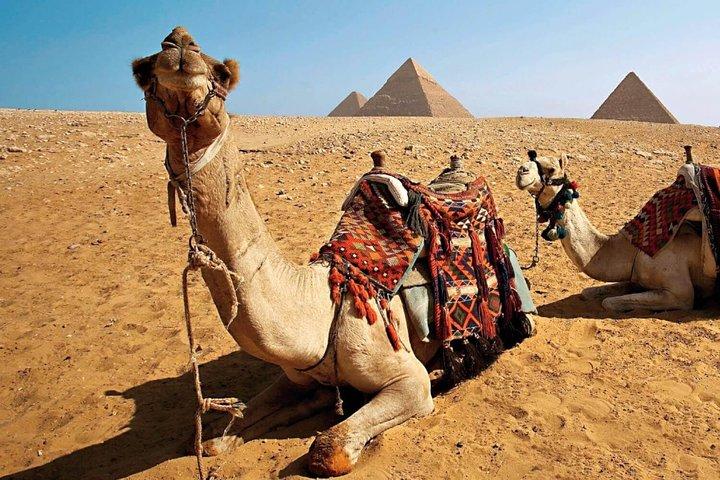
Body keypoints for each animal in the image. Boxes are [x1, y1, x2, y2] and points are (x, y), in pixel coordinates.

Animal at [131, 26, 453, 477]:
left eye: (222, 73)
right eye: (143, 72)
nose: (179, 43)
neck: (320, 308)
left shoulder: (408, 380)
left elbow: (327, 449)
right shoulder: (295, 375)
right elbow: (215, 438)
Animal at [515, 152, 715, 312]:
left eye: (551, 168)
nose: (521, 171)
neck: (635, 250)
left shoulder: (680, 292)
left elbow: (609, 302)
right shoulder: (635, 278)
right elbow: (588, 292)